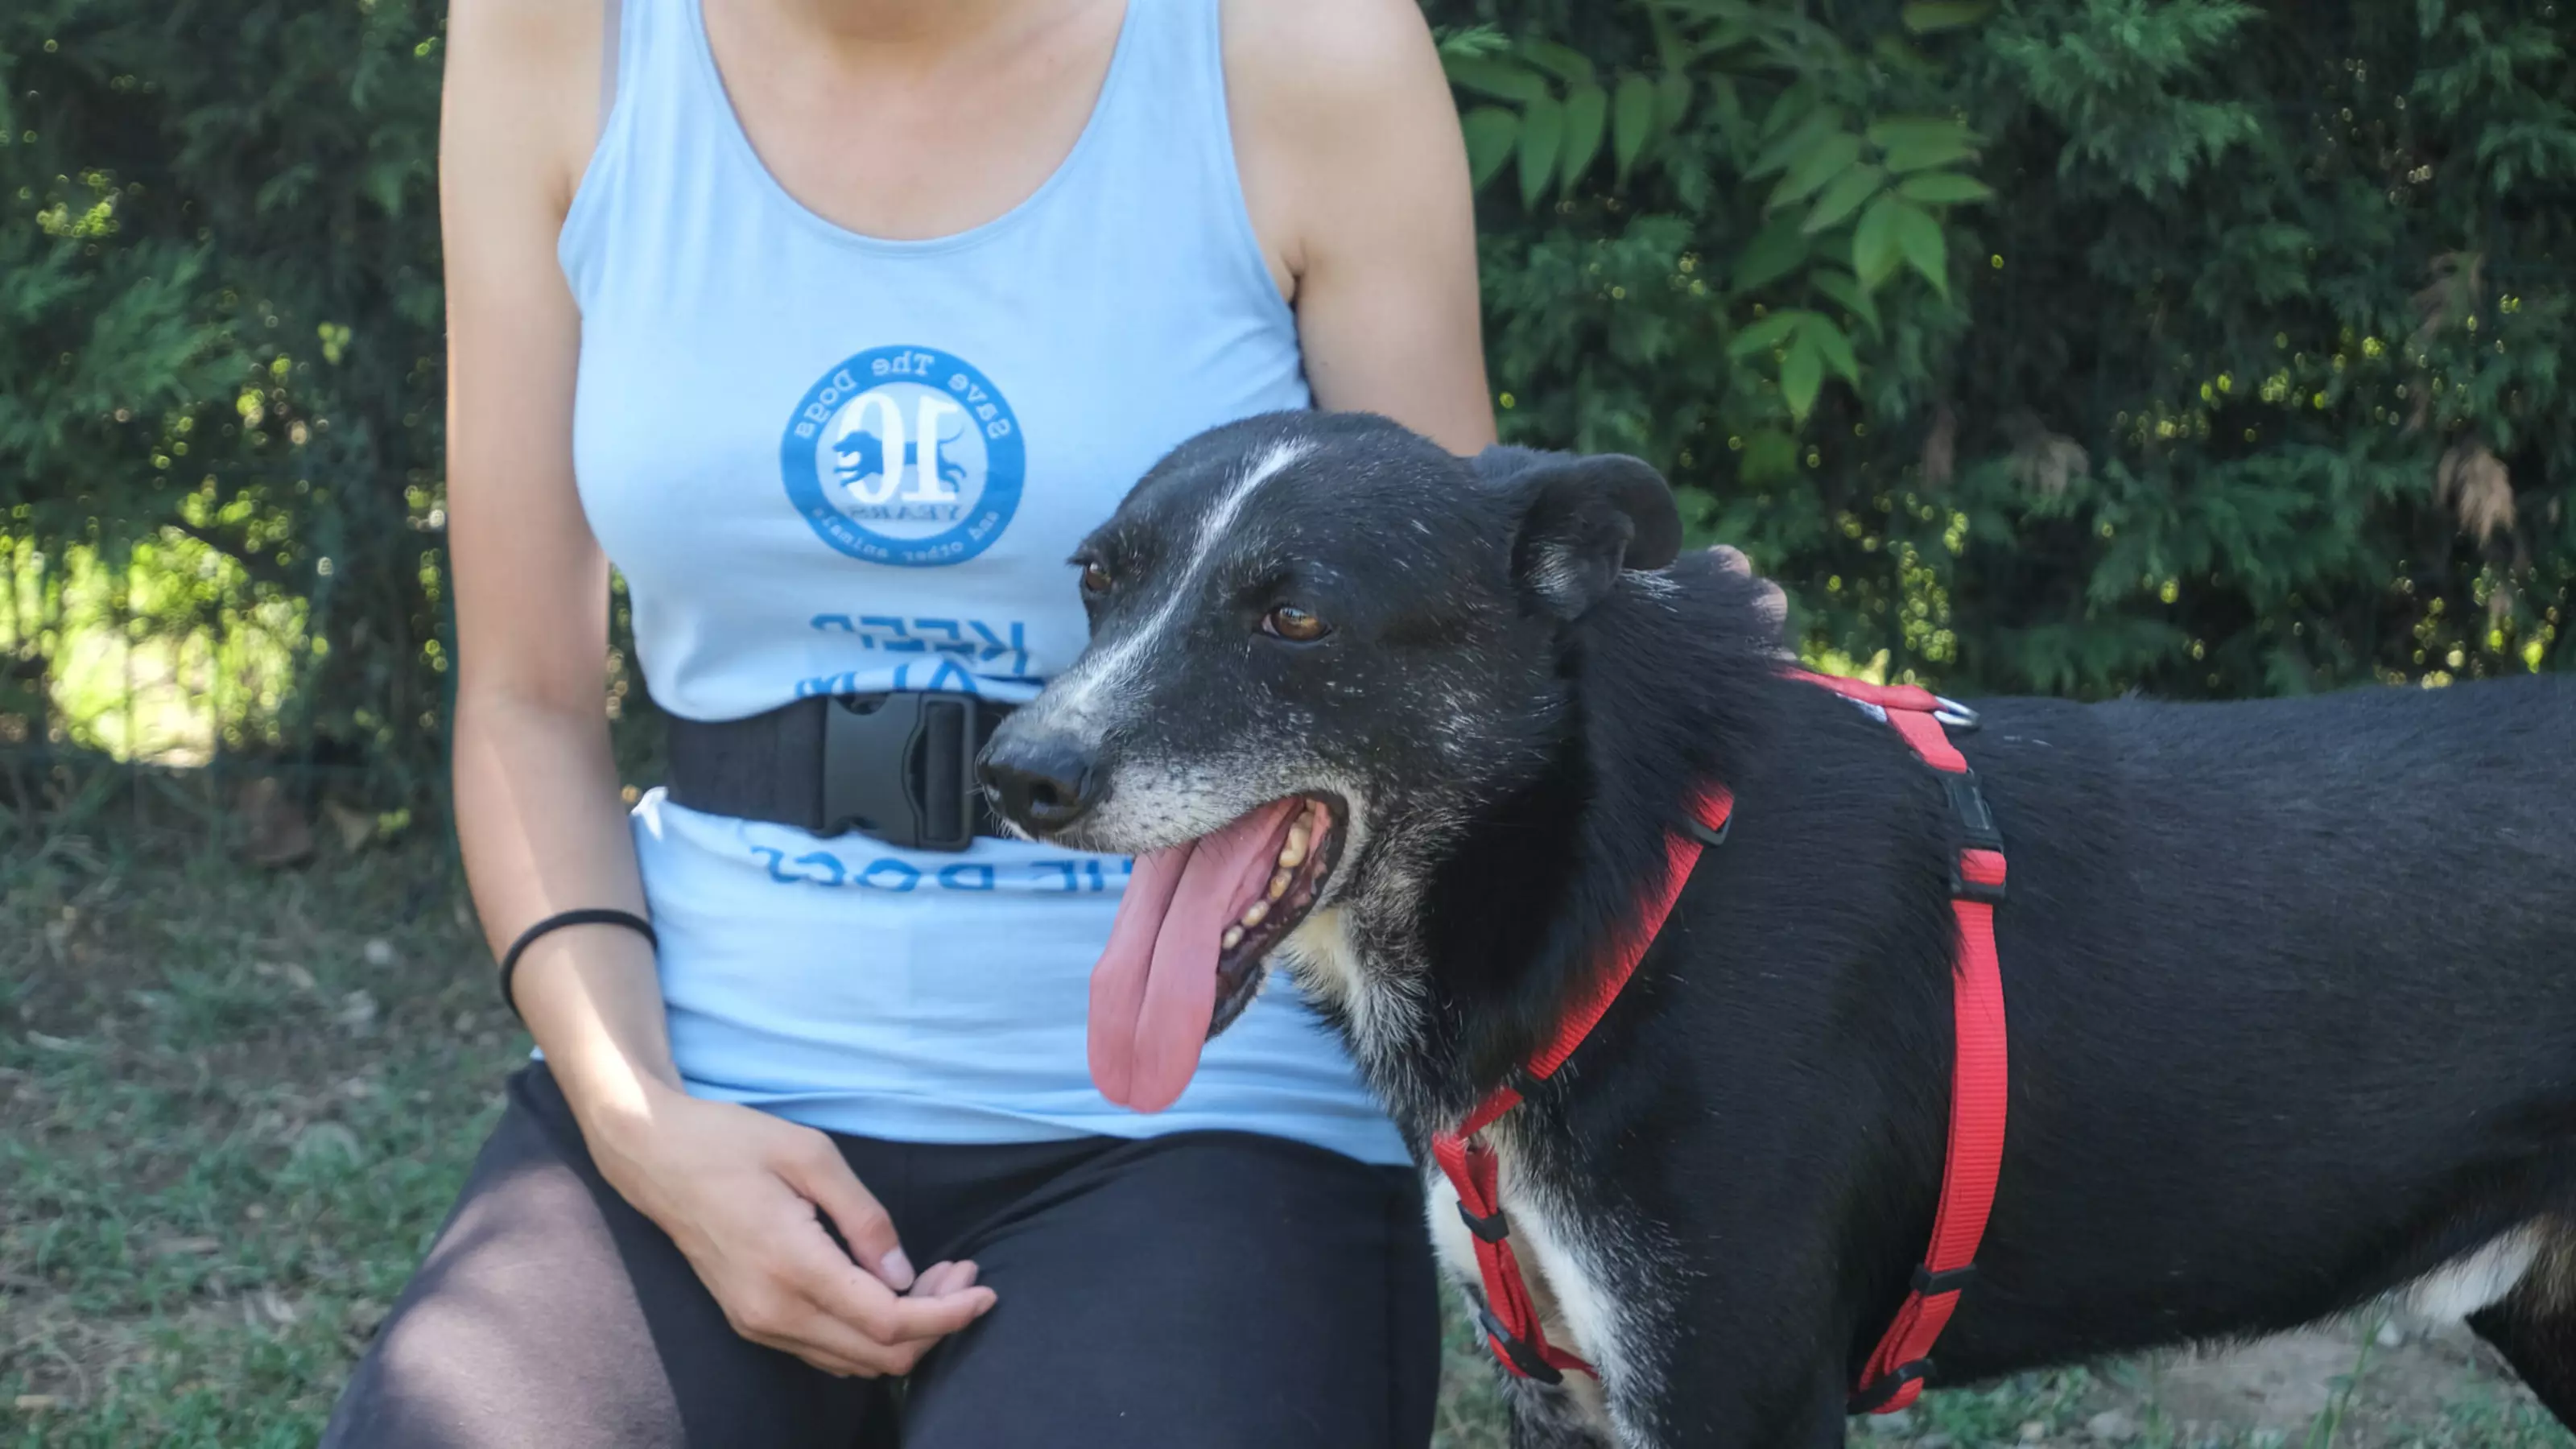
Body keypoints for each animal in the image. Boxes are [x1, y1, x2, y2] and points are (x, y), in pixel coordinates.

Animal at [979, 410, 2576, 1443]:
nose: (1015, 775)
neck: (1623, 887)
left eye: (1295, 620)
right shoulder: (1561, 1394)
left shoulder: (1734, 1395)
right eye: (1099, 580)